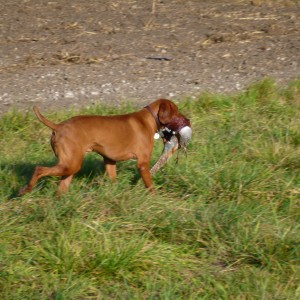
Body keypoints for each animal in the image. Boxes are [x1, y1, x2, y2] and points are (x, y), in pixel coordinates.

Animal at [19, 99, 191, 196]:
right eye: (176, 112)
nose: (188, 119)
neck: (147, 119)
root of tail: (58, 126)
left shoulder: (110, 161)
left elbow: (113, 179)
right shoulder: (142, 163)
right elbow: (150, 185)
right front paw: (154, 198)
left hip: (70, 166)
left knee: (60, 190)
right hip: (70, 164)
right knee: (39, 169)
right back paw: (26, 189)